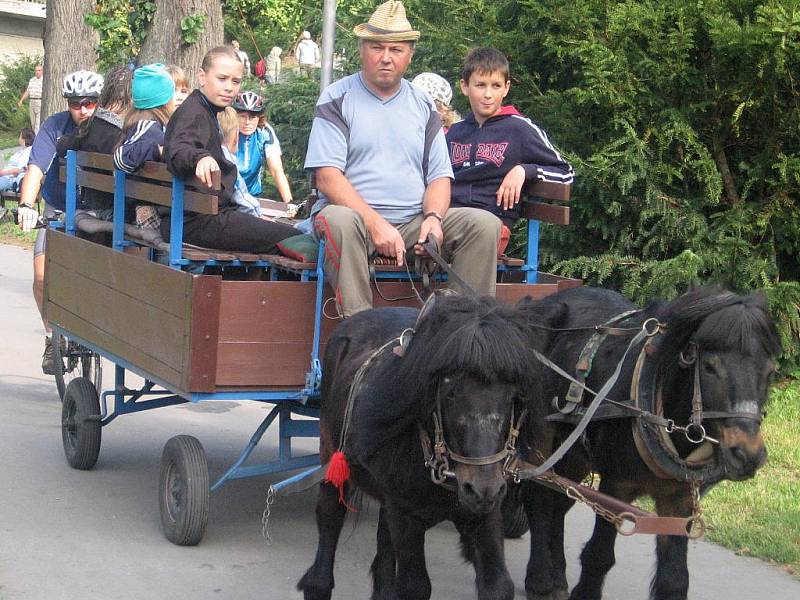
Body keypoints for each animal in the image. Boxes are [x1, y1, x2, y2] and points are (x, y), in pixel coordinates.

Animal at [296, 296, 548, 600]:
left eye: (513, 395)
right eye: (451, 393)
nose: (482, 489)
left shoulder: (485, 514)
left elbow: (498, 585)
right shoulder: (407, 517)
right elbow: (414, 586)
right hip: (332, 456)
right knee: (330, 517)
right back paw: (319, 582)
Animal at [512, 286, 780, 600]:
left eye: (771, 371)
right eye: (710, 367)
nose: (748, 454)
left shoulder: (679, 501)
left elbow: (674, 578)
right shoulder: (617, 487)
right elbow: (599, 556)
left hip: (574, 453)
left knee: (559, 498)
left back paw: (557, 578)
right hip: (540, 434)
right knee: (539, 496)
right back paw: (540, 580)